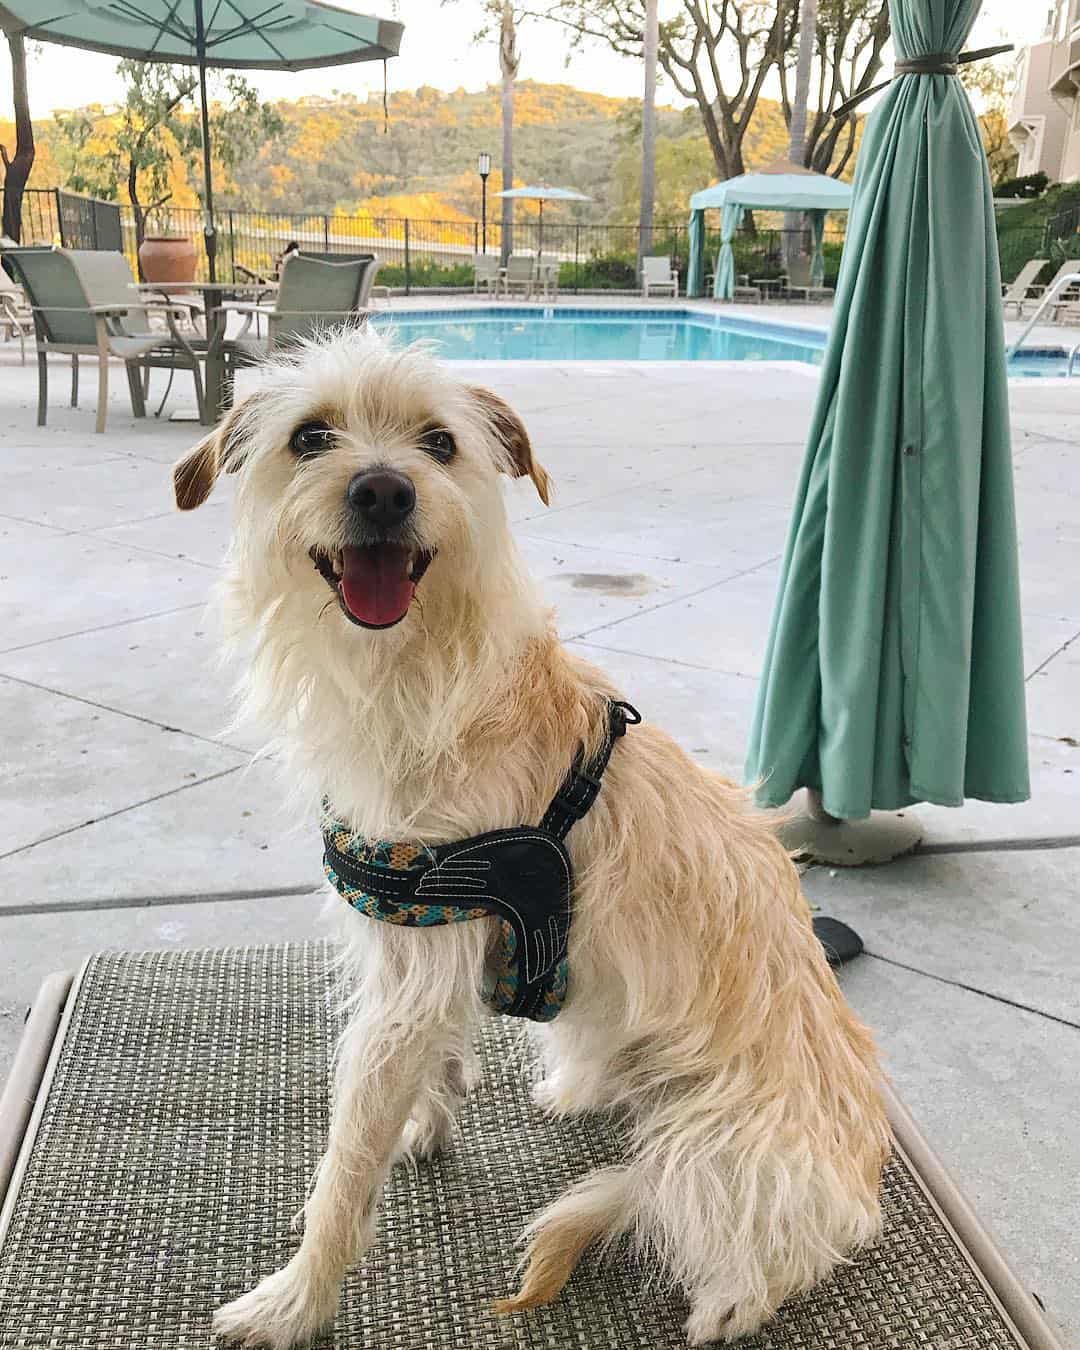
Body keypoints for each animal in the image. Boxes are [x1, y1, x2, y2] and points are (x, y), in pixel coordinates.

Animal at [175, 329, 885, 1350]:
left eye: (439, 443)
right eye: (310, 437)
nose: (383, 490)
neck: (421, 677)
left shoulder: (412, 970)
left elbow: (346, 1159)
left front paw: (295, 1301)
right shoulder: (423, 951)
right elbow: (421, 1073)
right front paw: (426, 1120)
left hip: (715, 1144)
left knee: (779, 1235)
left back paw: (732, 1299)